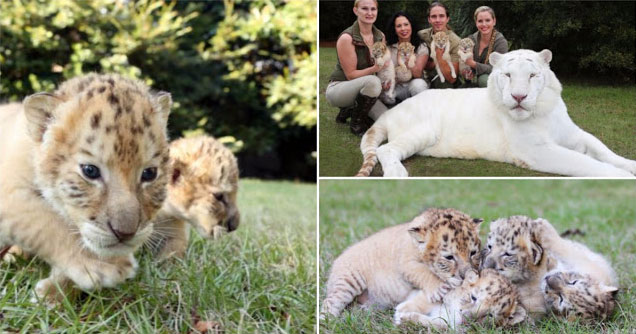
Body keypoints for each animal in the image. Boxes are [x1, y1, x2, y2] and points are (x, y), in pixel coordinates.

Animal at [358, 48, 636, 177]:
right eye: (508, 75)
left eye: (532, 75)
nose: (519, 97)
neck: (542, 112)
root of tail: (390, 112)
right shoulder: (536, 150)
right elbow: (585, 163)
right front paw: (621, 176)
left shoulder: (573, 134)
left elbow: (603, 151)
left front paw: (630, 165)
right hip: (422, 130)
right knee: (385, 149)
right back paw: (397, 172)